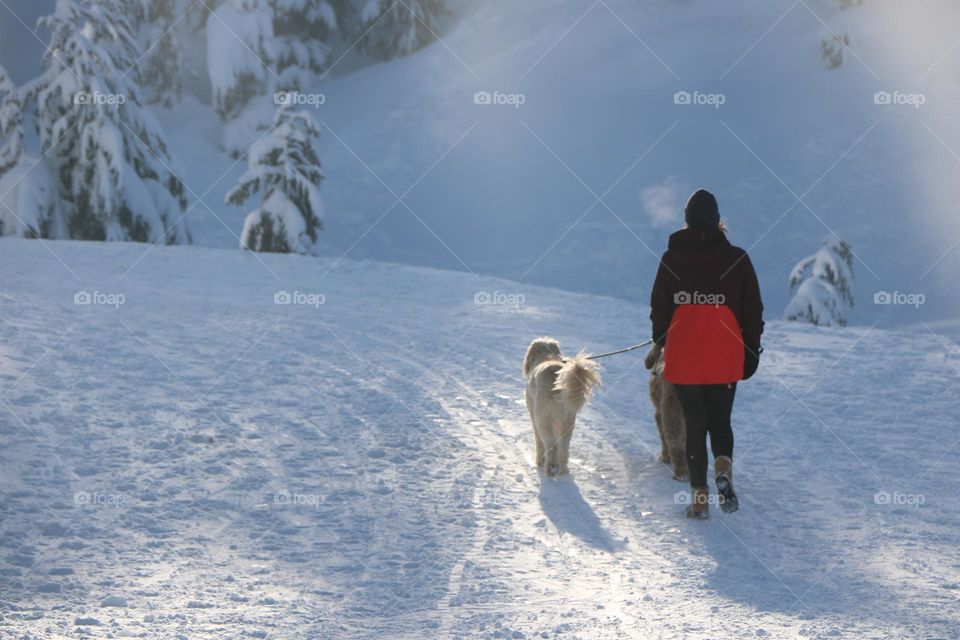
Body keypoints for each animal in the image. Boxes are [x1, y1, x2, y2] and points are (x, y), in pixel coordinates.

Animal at [524, 338, 600, 478]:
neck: (547, 356)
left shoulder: (534, 417)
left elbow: (539, 442)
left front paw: (539, 462)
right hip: (567, 422)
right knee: (563, 449)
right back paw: (563, 471)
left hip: (542, 419)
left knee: (550, 445)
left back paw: (548, 469)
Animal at [648, 344, 688, 480]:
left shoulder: (658, 415)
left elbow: (663, 438)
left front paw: (665, 458)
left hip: (671, 417)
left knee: (675, 446)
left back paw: (680, 474)